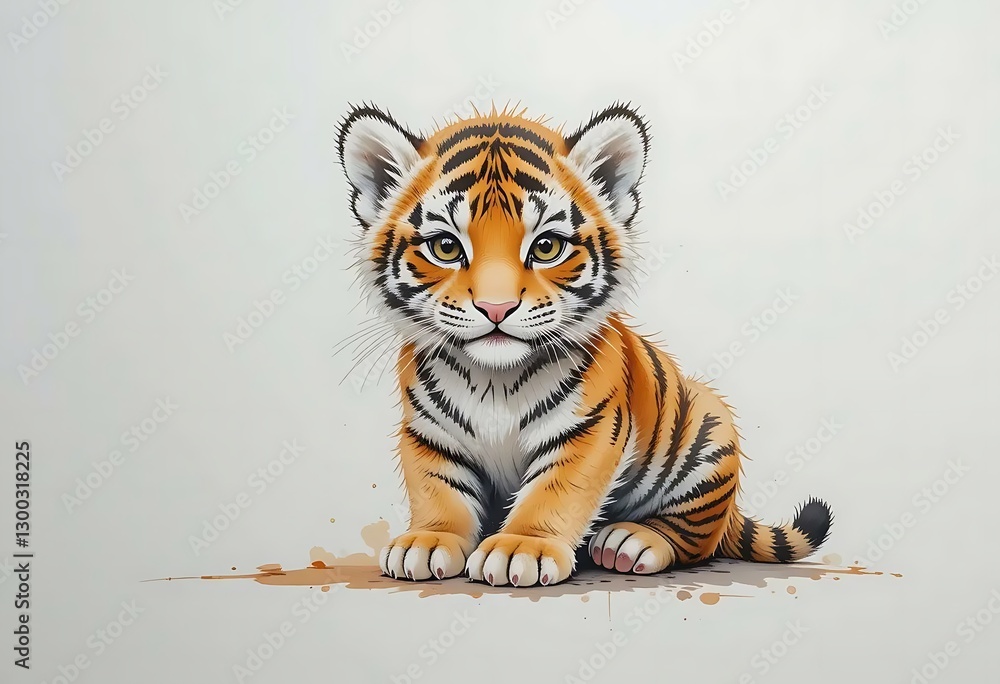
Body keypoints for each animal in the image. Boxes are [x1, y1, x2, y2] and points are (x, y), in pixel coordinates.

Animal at [335, 102, 832, 587]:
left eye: (547, 247)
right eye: (444, 247)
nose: (496, 308)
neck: (493, 377)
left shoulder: (589, 429)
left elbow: (554, 492)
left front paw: (522, 548)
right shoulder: (428, 432)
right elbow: (438, 489)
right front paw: (428, 541)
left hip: (710, 434)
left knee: (695, 538)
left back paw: (631, 542)